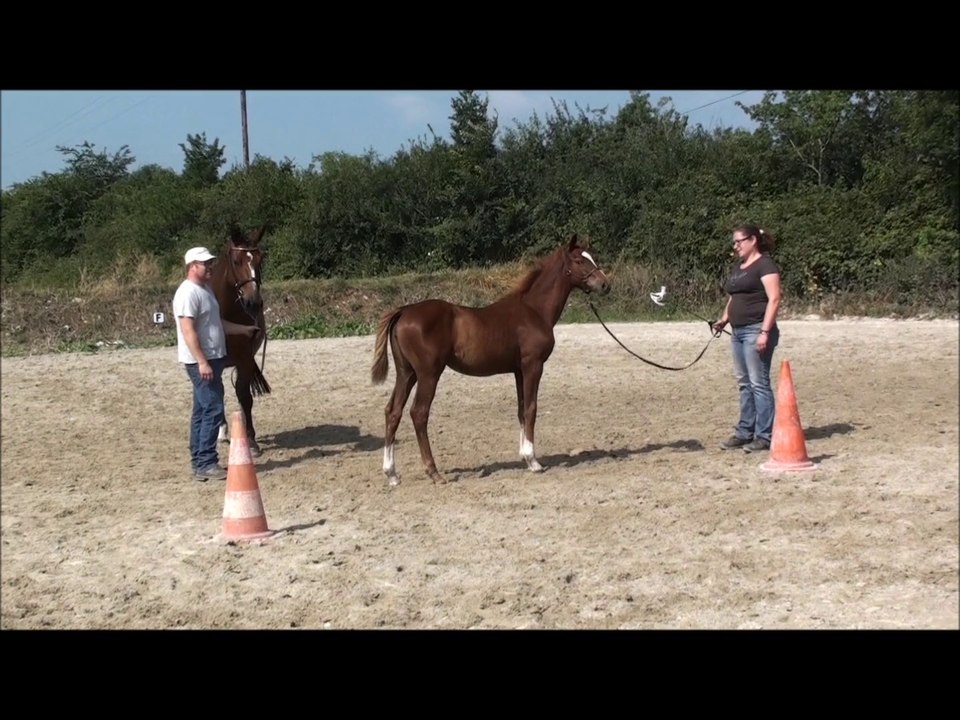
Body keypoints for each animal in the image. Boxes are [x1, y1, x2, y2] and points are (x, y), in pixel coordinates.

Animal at [210, 224, 271, 456]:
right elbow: (217, 394)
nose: (253, 302)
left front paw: (251, 440)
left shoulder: (244, 358)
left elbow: (244, 395)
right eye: (236, 261)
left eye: (260, 260)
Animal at [371, 234, 611, 486]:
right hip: (428, 374)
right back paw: (434, 472)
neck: (534, 311)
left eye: (591, 257)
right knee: (419, 413)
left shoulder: (518, 370)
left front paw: (525, 458)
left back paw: (392, 474)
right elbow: (532, 408)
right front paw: (534, 462)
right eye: (579, 260)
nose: (605, 285)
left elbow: (521, 409)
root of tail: (404, 310)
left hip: (406, 373)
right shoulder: (533, 366)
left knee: (393, 412)